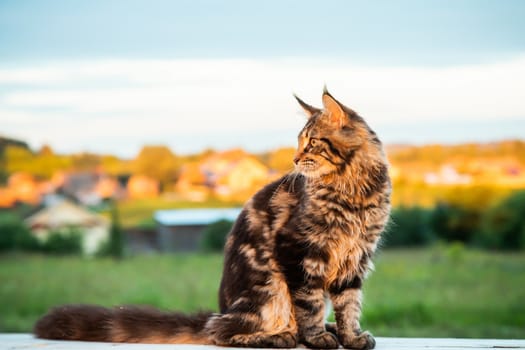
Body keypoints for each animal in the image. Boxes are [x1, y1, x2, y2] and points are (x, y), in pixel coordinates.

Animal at [34, 89, 388, 348]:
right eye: (299, 142)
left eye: (312, 142)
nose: (295, 158)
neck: (354, 190)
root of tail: (221, 309)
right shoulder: (298, 250)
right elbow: (310, 304)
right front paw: (317, 338)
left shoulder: (356, 257)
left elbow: (349, 305)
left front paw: (350, 337)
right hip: (268, 289)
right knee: (221, 331)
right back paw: (279, 337)